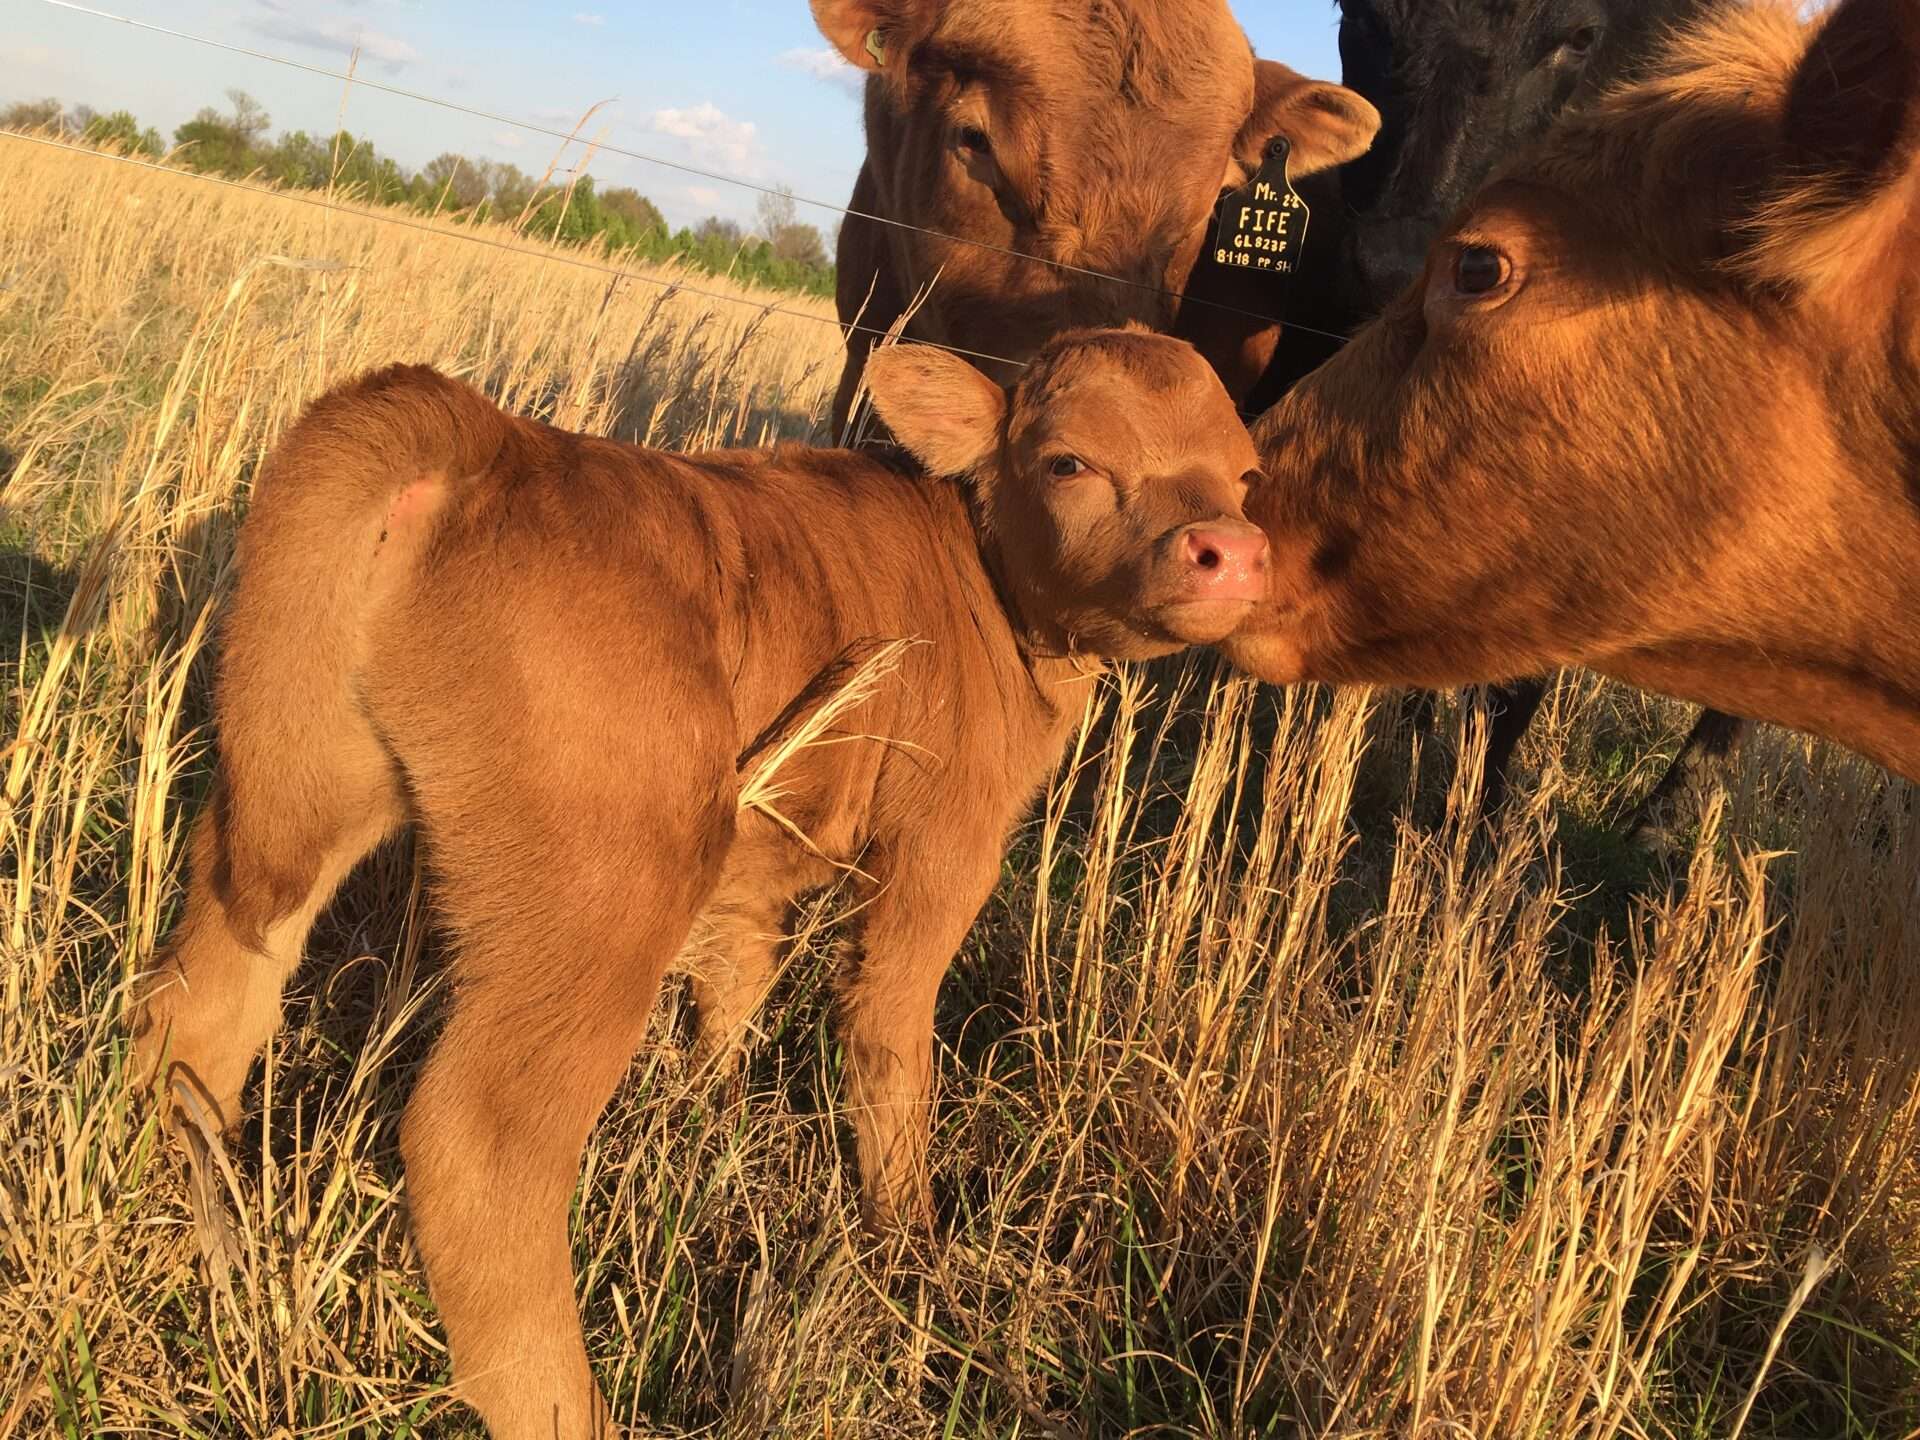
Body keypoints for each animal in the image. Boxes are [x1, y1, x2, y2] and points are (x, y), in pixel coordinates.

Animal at [133, 329, 1269, 1439]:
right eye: (1070, 461)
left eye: (1248, 477)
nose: (1229, 553)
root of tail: (486, 435)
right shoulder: (943, 846)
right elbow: (890, 1031)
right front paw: (907, 1245)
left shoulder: (756, 875)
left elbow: (732, 993)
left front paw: (706, 1122)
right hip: (606, 892)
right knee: (479, 1146)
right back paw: (569, 1410)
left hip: (296, 792)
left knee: (200, 1005)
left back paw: (194, 1228)